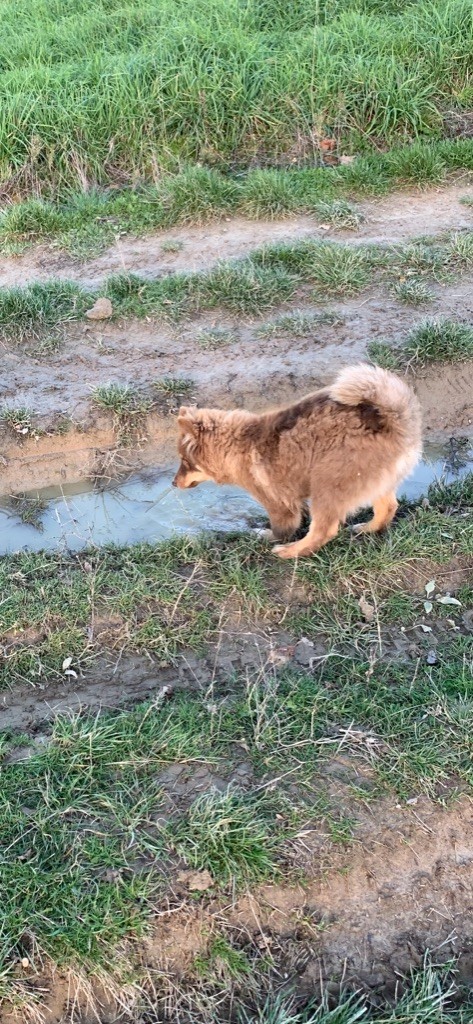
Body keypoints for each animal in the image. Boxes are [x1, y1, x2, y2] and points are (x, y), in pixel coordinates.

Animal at [172, 366, 423, 561]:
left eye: (184, 461)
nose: (173, 484)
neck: (240, 443)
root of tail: (393, 419)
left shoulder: (275, 500)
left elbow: (281, 527)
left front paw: (266, 535)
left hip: (329, 481)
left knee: (324, 530)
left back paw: (290, 551)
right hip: (375, 480)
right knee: (387, 507)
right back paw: (367, 528)